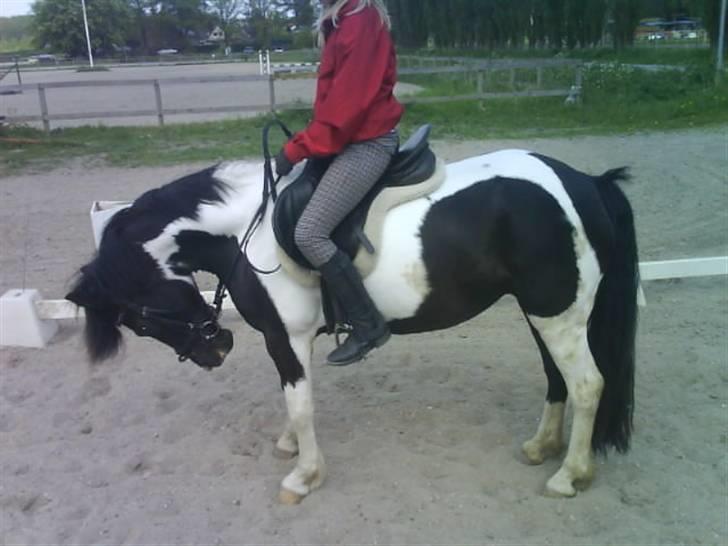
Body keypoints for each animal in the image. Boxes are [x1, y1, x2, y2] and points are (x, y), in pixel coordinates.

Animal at [66, 125, 639, 504]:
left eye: (139, 320)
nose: (215, 349)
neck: (246, 229)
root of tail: (586, 182)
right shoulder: (288, 339)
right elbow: (292, 397)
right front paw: (290, 447)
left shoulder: (287, 336)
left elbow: (300, 403)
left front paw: (303, 476)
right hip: (545, 313)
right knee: (557, 379)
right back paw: (542, 447)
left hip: (558, 312)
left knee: (587, 384)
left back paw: (570, 475)